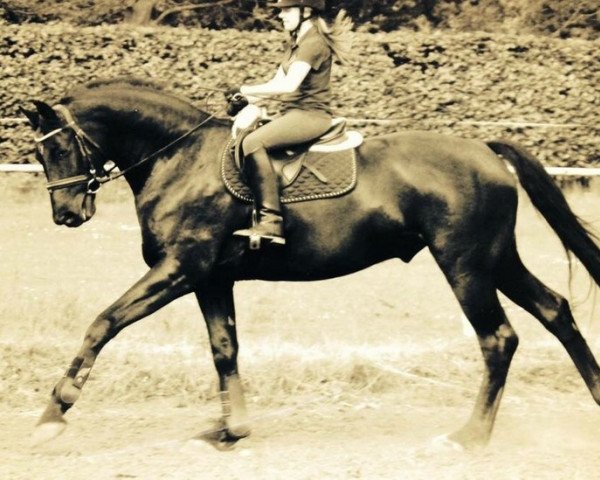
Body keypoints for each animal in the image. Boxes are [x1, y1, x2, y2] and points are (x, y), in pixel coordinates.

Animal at [19, 79, 600, 450]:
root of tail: (483, 149)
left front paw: (53, 414)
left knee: (498, 339)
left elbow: (104, 322)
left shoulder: (179, 269)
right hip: (496, 258)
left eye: (61, 149)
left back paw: (469, 439)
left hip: (465, 263)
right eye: (41, 154)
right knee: (556, 309)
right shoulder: (211, 279)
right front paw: (232, 430)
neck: (178, 158)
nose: (66, 214)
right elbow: (224, 349)